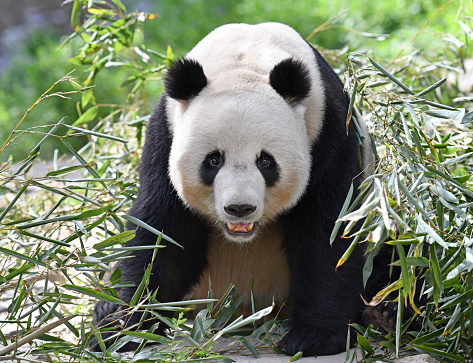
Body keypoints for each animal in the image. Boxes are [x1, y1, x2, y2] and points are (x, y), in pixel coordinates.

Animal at [90, 22, 386, 358]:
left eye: (266, 161)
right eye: (213, 160)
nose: (240, 208)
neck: (246, 58)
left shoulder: (330, 130)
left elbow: (332, 230)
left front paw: (313, 337)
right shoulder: (165, 133)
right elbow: (163, 234)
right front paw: (123, 328)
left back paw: (385, 314)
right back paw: (103, 312)